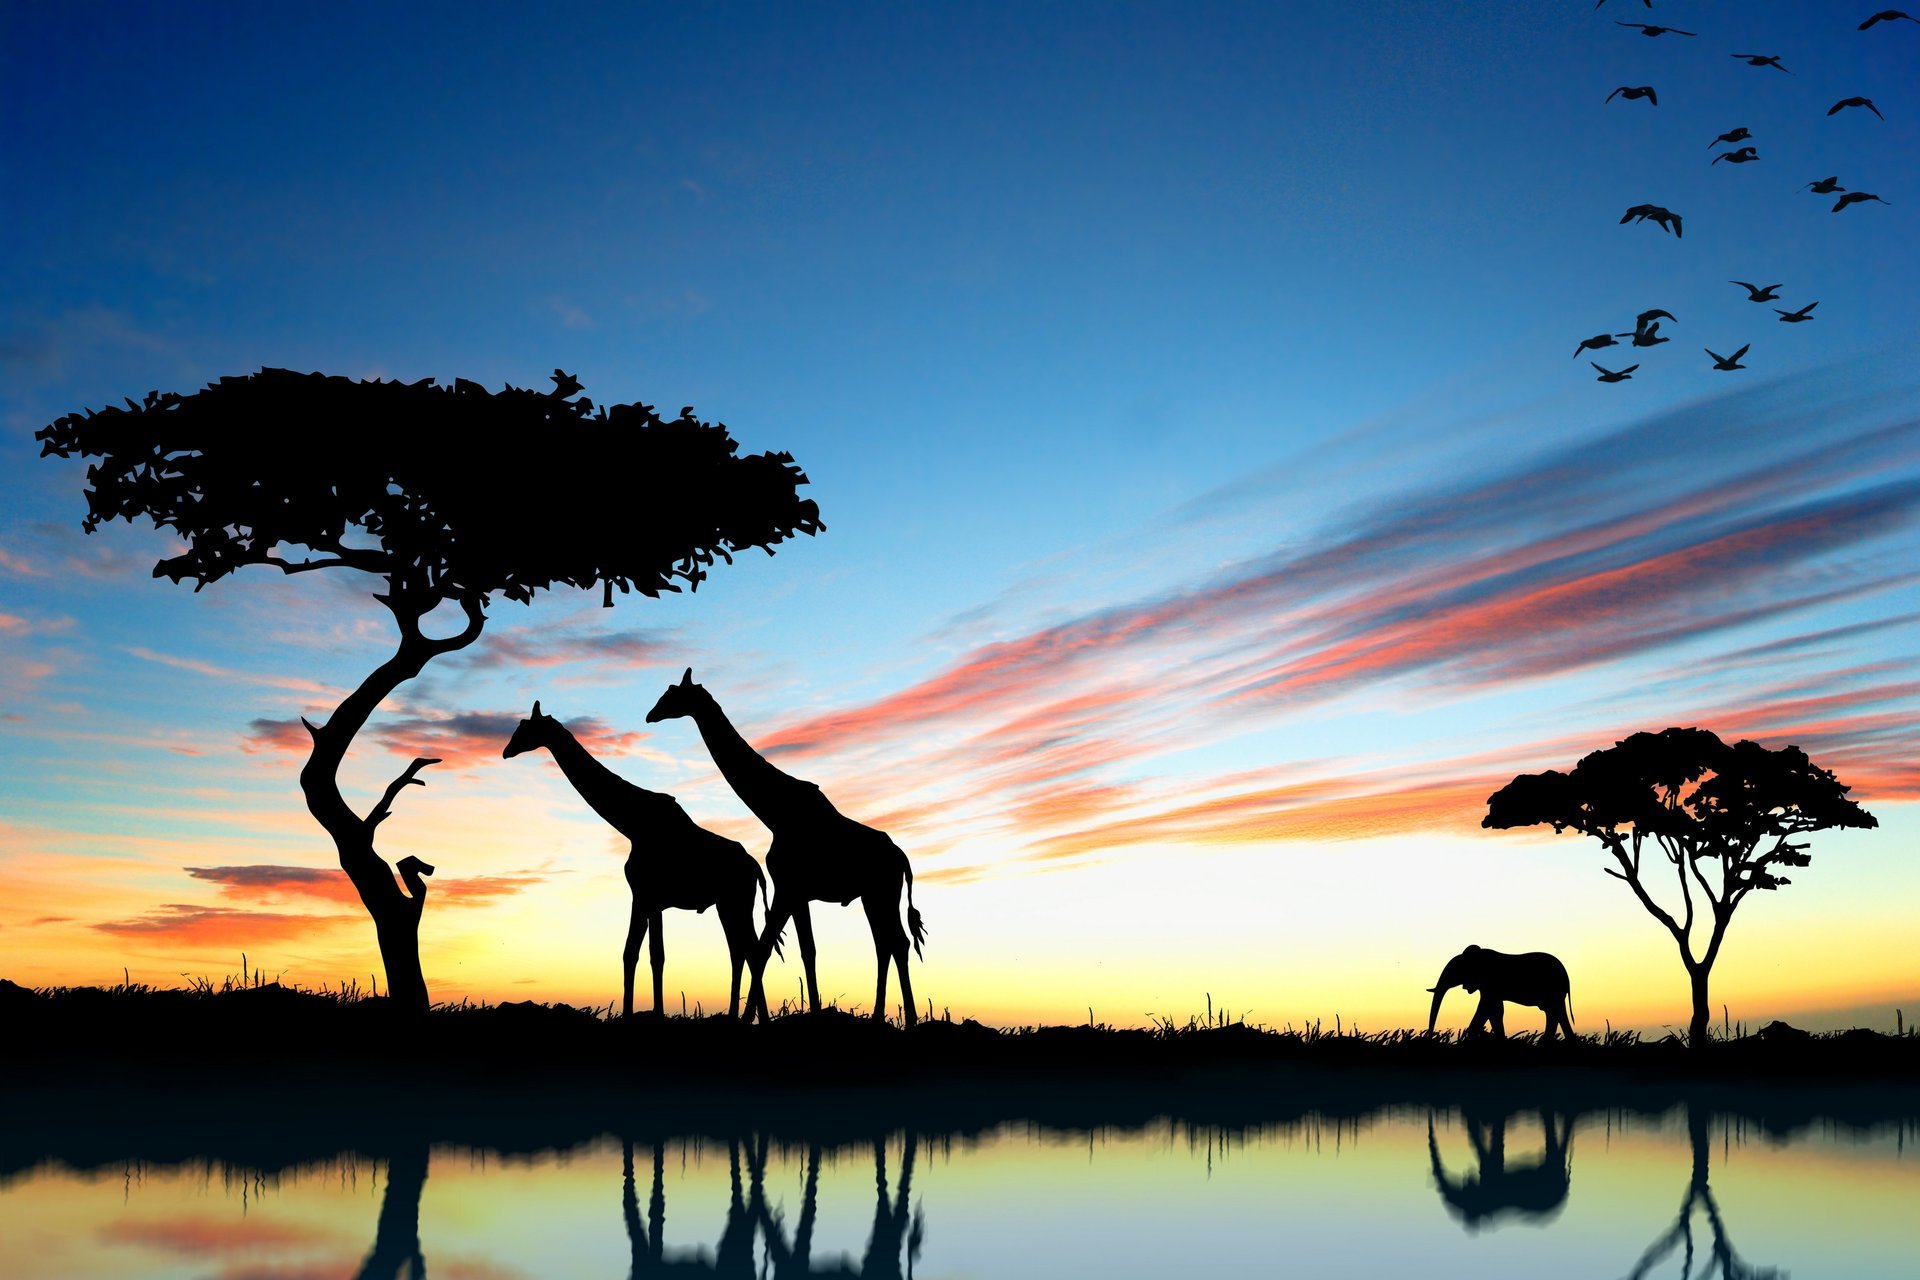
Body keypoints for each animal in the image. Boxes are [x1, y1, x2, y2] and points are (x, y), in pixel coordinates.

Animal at [503, 701, 769, 1018]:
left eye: (525, 728)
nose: (506, 751)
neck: (632, 823)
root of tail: (755, 868)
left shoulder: (647, 896)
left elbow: (652, 955)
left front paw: (652, 1014)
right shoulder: (646, 898)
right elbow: (635, 953)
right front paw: (634, 1013)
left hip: (736, 901)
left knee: (749, 951)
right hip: (727, 904)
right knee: (742, 951)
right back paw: (740, 1017)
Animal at [646, 669, 926, 1025]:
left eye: (672, 694)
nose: (650, 715)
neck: (775, 812)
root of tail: (902, 858)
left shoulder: (787, 887)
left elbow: (764, 948)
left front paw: (749, 1019)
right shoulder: (797, 892)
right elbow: (806, 950)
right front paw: (812, 1013)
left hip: (883, 891)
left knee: (896, 942)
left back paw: (910, 1019)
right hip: (872, 894)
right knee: (887, 943)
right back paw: (880, 1017)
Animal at [1427, 945, 1575, 1040]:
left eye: (1456, 971)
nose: (1431, 1035)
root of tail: (1567, 977)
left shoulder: (1490, 983)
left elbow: (1486, 1007)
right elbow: (1496, 1010)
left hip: (1553, 990)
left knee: (1555, 1012)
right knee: (1554, 1012)